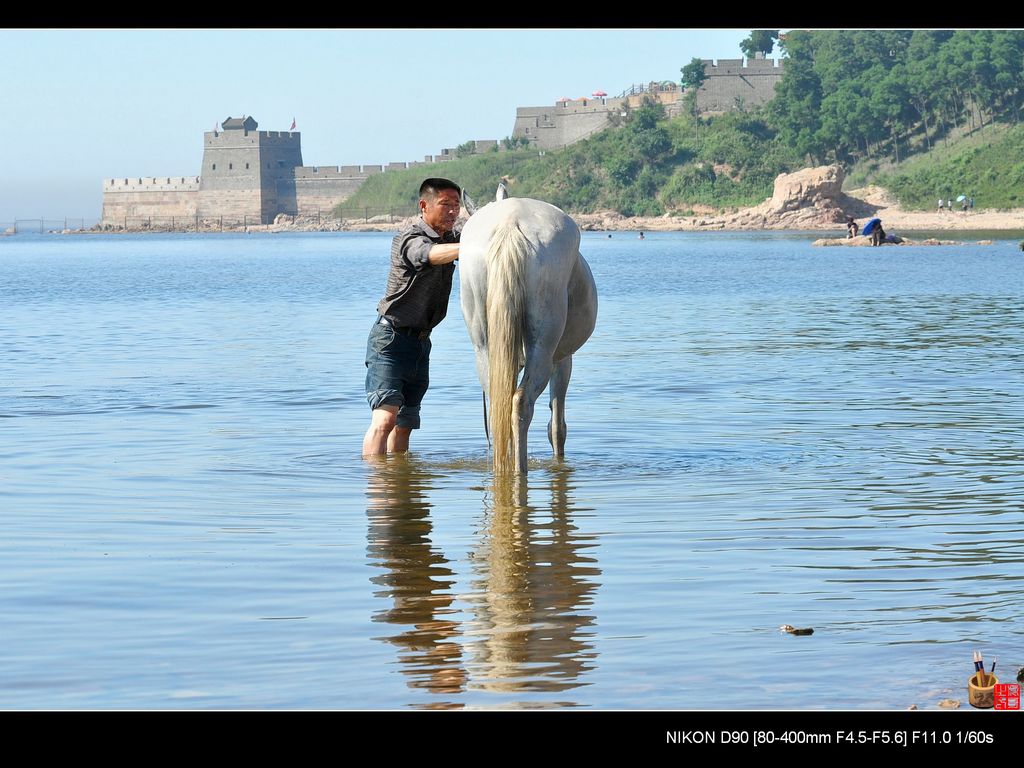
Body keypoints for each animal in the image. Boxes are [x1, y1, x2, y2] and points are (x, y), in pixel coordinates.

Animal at [458, 192, 598, 475]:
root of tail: (509, 223)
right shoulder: (562, 361)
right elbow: (557, 426)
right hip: (543, 349)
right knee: (522, 403)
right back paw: (519, 470)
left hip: (485, 349)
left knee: (501, 406)